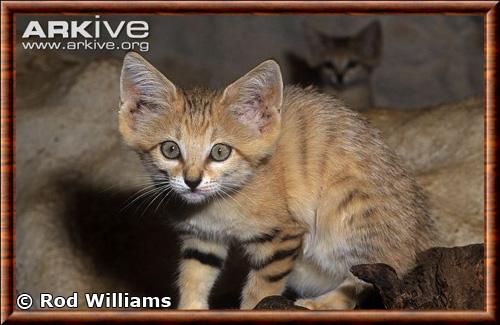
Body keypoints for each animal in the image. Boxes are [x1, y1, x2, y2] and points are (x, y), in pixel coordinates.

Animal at [118, 52, 438, 308]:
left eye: (220, 152)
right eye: (170, 149)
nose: (192, 181)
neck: (216, 204)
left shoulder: (283, 237)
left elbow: (260, 290)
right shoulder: (203, 238)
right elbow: (193, 278)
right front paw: (191, 309)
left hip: (349, 214)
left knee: (368, 277)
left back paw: (317, 304)